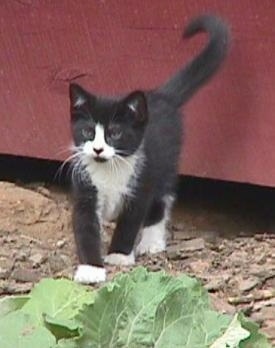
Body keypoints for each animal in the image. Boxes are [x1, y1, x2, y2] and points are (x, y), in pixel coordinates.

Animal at [69, 14, 231, 284]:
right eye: (88, 132)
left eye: (115, 133)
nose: (98, 149)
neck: (109, 171)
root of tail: (161, 97)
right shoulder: (84, 187)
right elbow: (85, 225)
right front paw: (91, 269)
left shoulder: (141, 183)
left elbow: (131, 220)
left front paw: (119, 255)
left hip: (165, 161)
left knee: (162, 198)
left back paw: (152, 241)